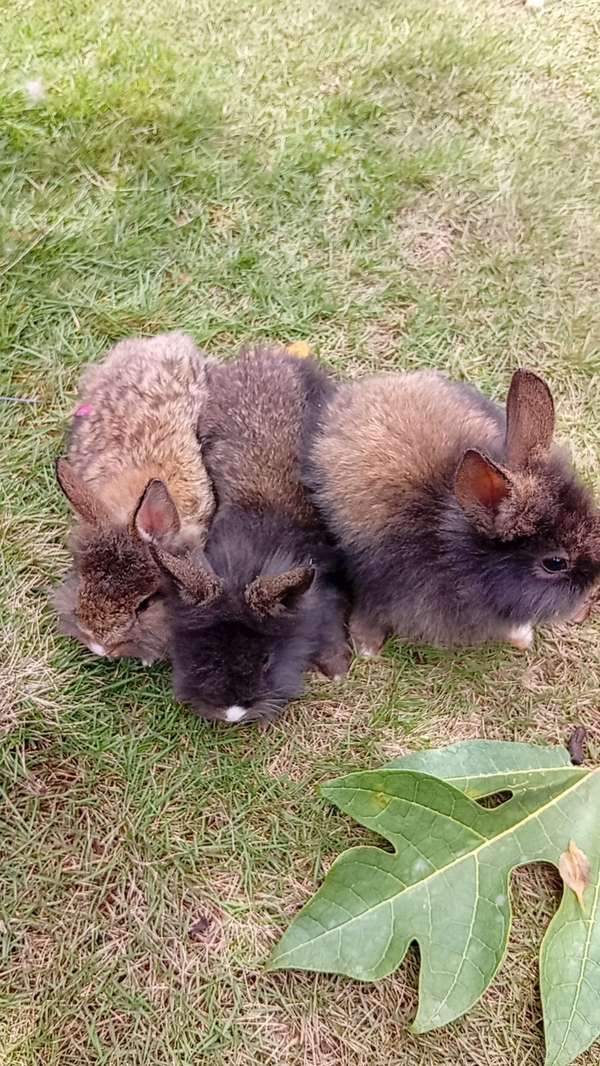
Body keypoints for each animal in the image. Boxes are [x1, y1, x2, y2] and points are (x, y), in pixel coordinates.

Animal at [148, 345, 351, 724]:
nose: (232, 713)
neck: (249, 558)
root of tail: (268, 355)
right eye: (199, 654)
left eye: (266, 659)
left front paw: (337, 669)